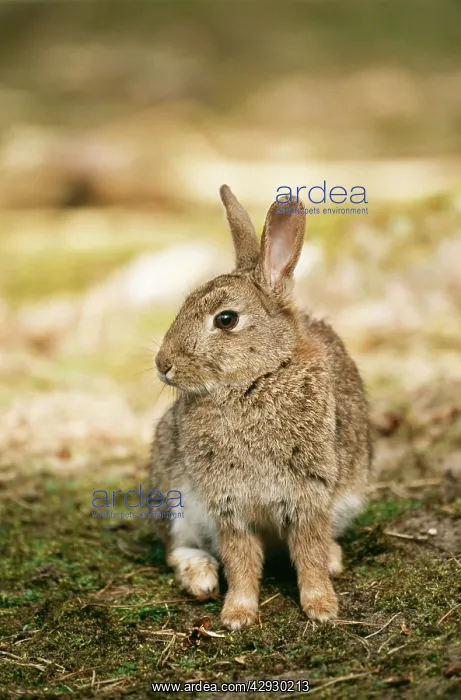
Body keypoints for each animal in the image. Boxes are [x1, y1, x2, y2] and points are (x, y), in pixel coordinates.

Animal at [151, 185, 372, 630]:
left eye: (226, 320)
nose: (163, 365)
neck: (255, 381)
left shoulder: (309, 495)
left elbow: (309, 554)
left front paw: (322, 608)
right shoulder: (228, 503)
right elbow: (240, 561)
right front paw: (237, 614)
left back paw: (334, 559)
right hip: (174, 499)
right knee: (177, 547)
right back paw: (201, 578)